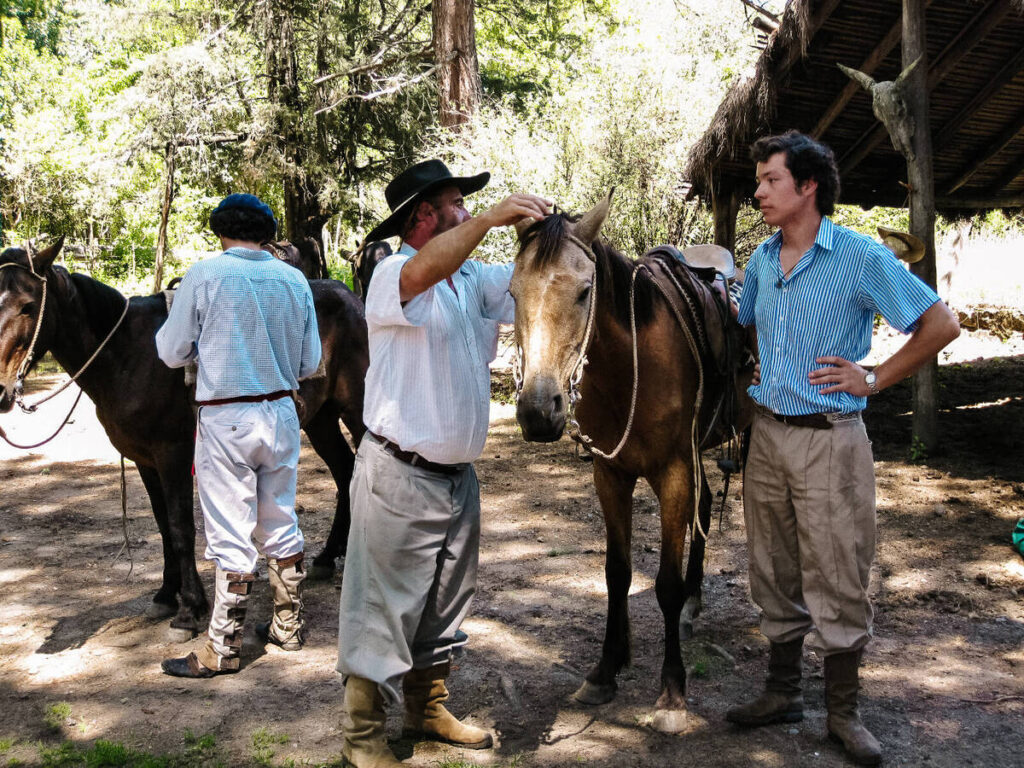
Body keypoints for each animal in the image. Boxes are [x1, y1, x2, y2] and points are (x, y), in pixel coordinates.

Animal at [0, 240, 368, 643]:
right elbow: (163, 526)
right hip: (321, 420)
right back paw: (326, 557)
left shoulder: (172, 456)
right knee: (344, 471)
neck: (129, 355)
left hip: (357, 410)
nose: (1, 391)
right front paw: (165, 594)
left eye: (28, 305)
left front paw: (190, 609)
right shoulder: (145, 461)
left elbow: (181, 527)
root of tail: (350, 296)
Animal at [512, 196, 753, 733]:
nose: (539, 411)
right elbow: (617, 573)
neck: (627, 373)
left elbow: (663, 583)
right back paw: (694, 603)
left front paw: (672, 694)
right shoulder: (611, 475)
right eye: (512, 292)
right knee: (706, 509)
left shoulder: (673, 473)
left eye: (584, 292)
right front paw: (605, 669)